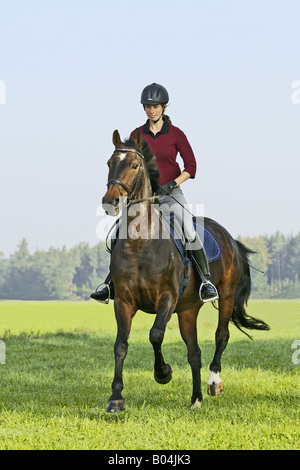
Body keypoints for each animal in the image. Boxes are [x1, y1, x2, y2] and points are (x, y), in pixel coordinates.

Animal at [101, 127, 270, 412]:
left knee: (221, 335)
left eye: (134, 165)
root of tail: (230, 238)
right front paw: (116, 398)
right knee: (194, 352)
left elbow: (155, 334)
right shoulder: (123, 301)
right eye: (109, 163)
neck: (141, 244)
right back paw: (196, 399)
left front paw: (163, 373)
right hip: (188, 310)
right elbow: (120, 345)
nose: (110, 201)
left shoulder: (167, 298)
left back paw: (213, 382)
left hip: (225, 296)